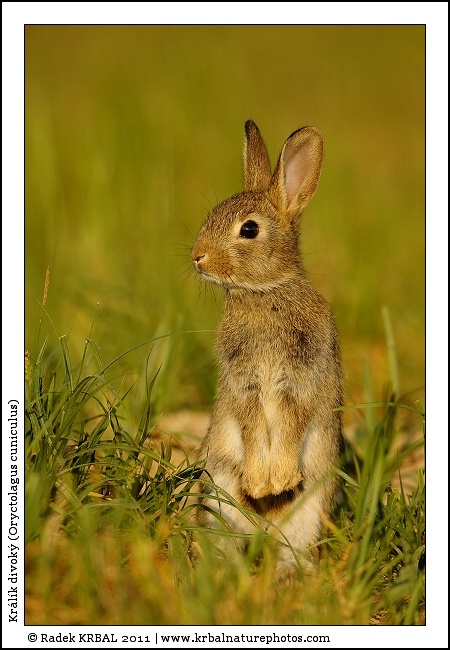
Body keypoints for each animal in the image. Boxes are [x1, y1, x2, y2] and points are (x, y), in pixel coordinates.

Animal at [191, 120, 343, 576]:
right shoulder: (244, 382)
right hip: (218, 498)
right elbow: (253, 422)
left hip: (308, 515)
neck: (264, 292)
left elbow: (291, 422)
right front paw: (261, 483)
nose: (197, 257)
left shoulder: (302, 376)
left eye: (249, 229)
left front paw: (278, 481)